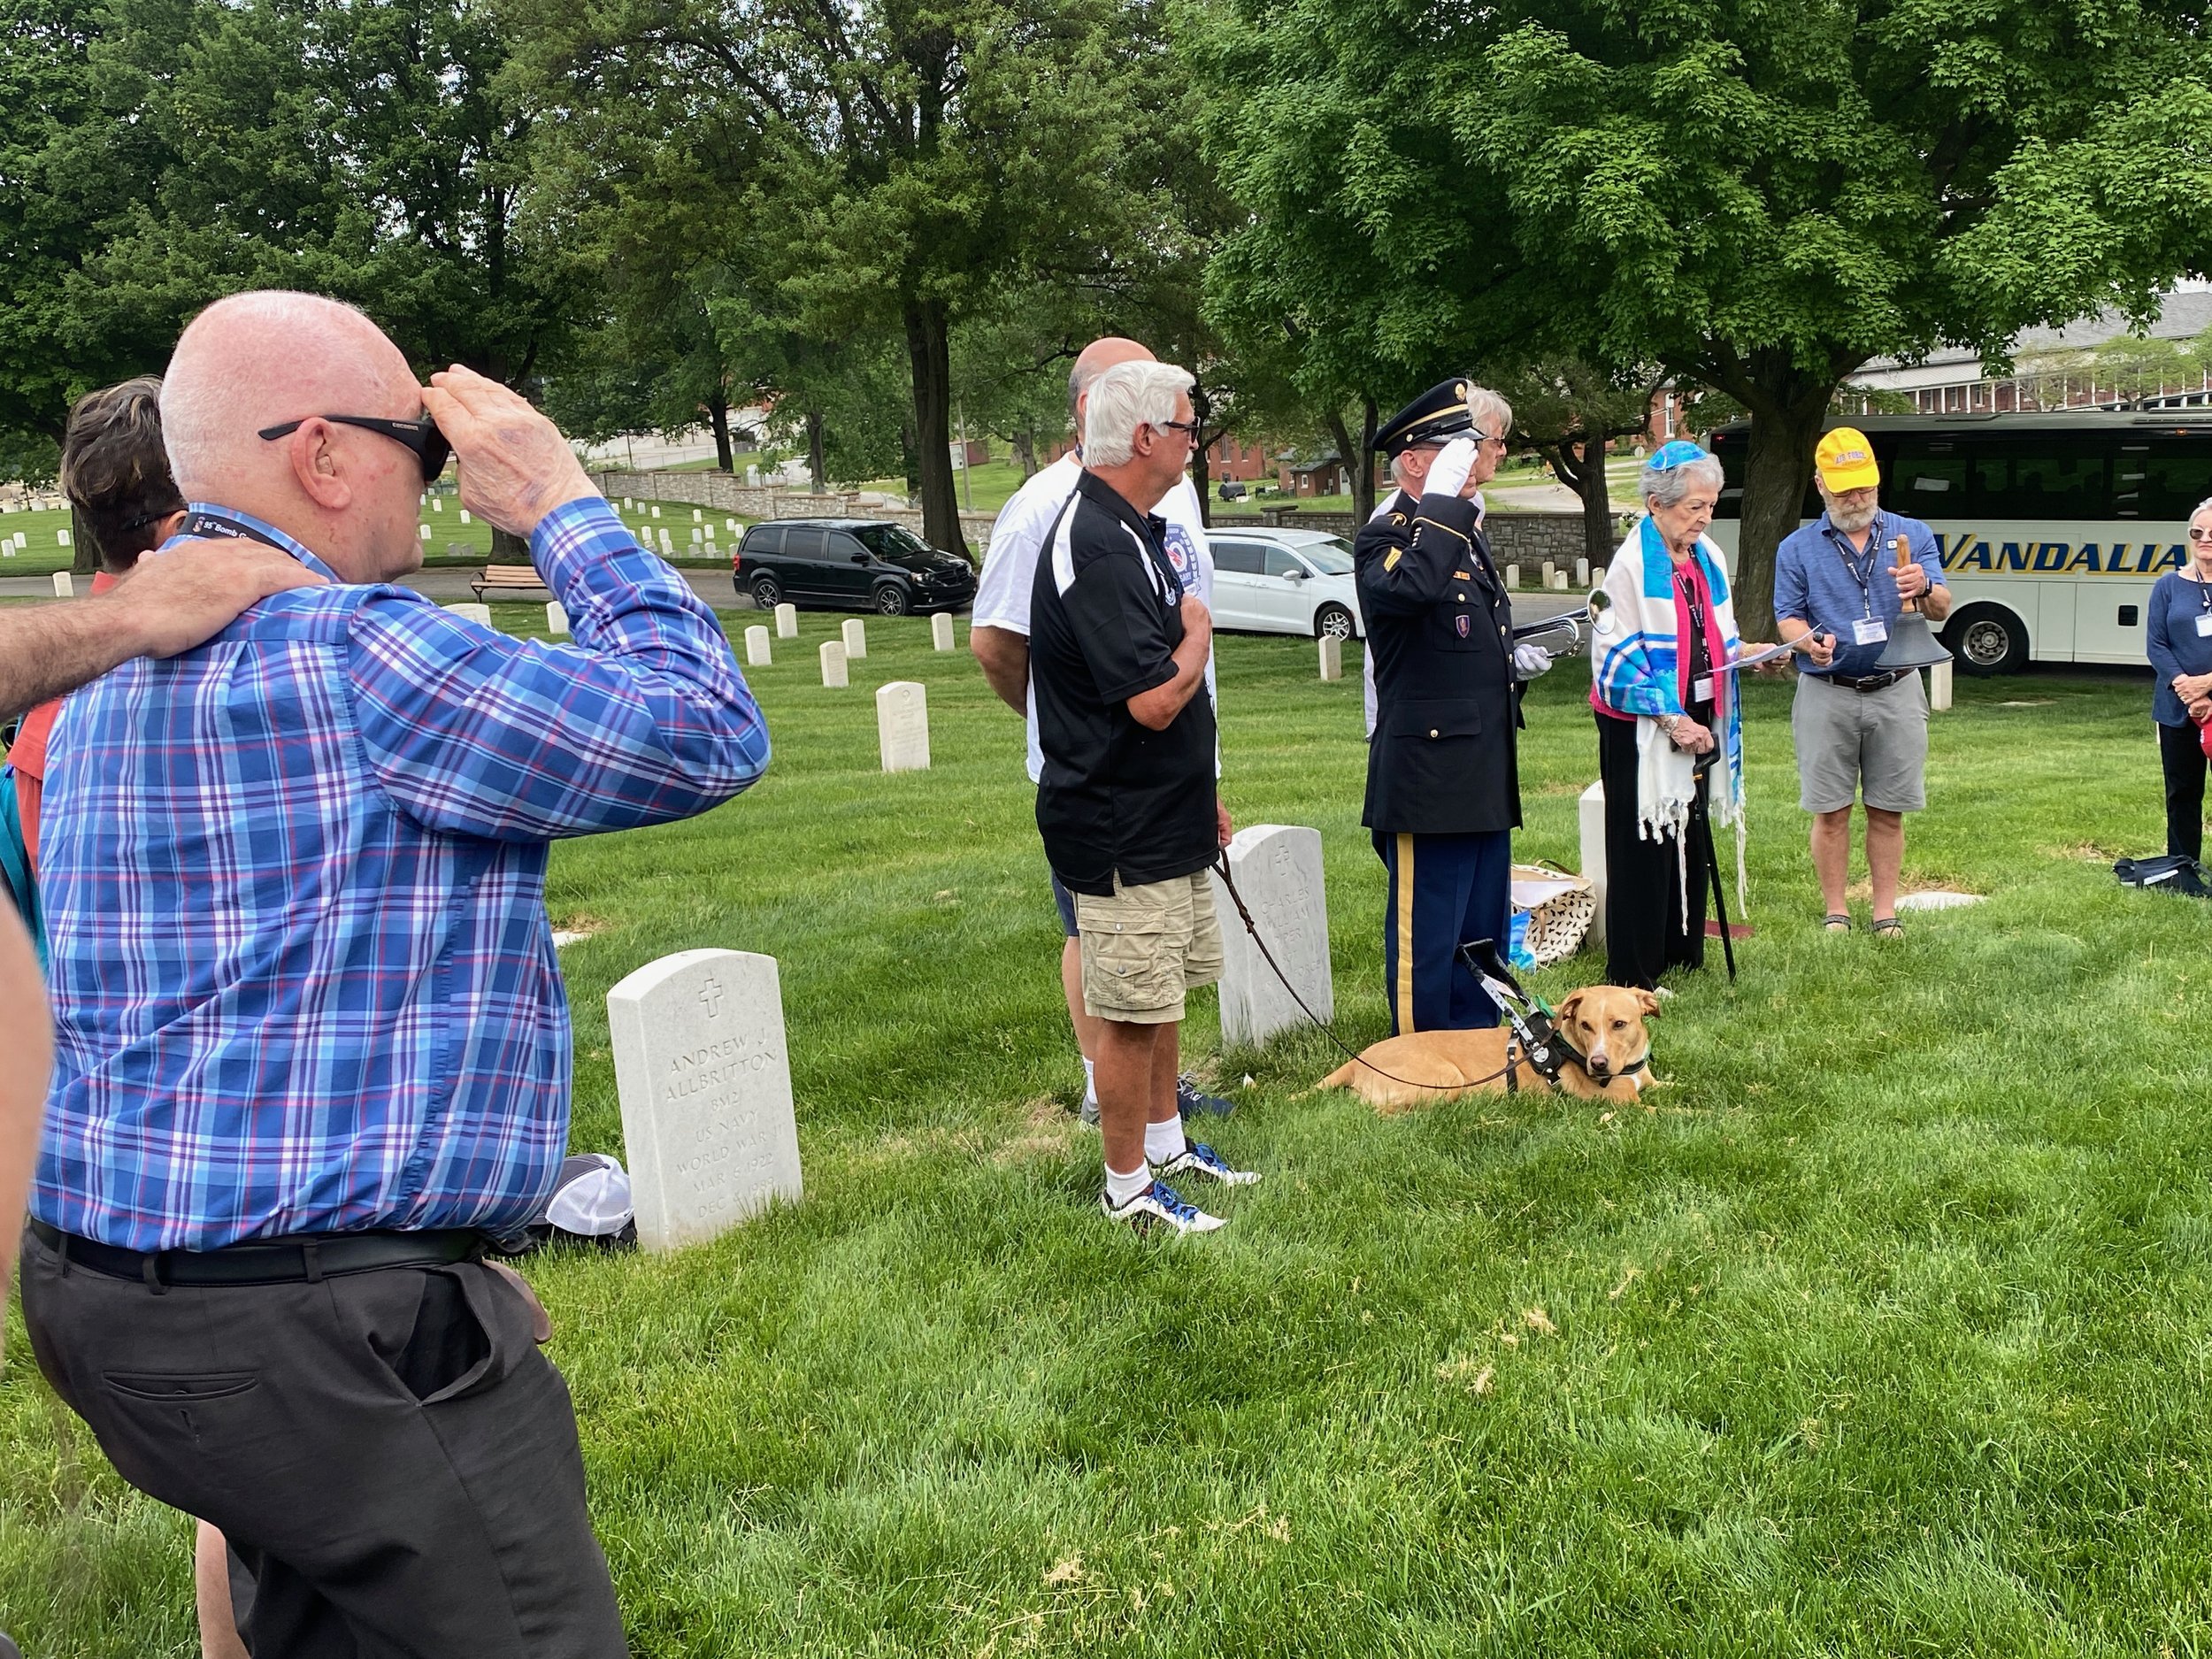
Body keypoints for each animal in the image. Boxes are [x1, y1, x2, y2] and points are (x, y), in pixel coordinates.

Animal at [1310, 987, 1663, 1119]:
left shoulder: (1652, 1084)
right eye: (1585, 1025)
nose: (1598, 1064)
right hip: (1447, 1080)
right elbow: (1669, 1112)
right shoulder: (1623, 1105)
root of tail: (1356, 1060)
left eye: (1619, 1024)